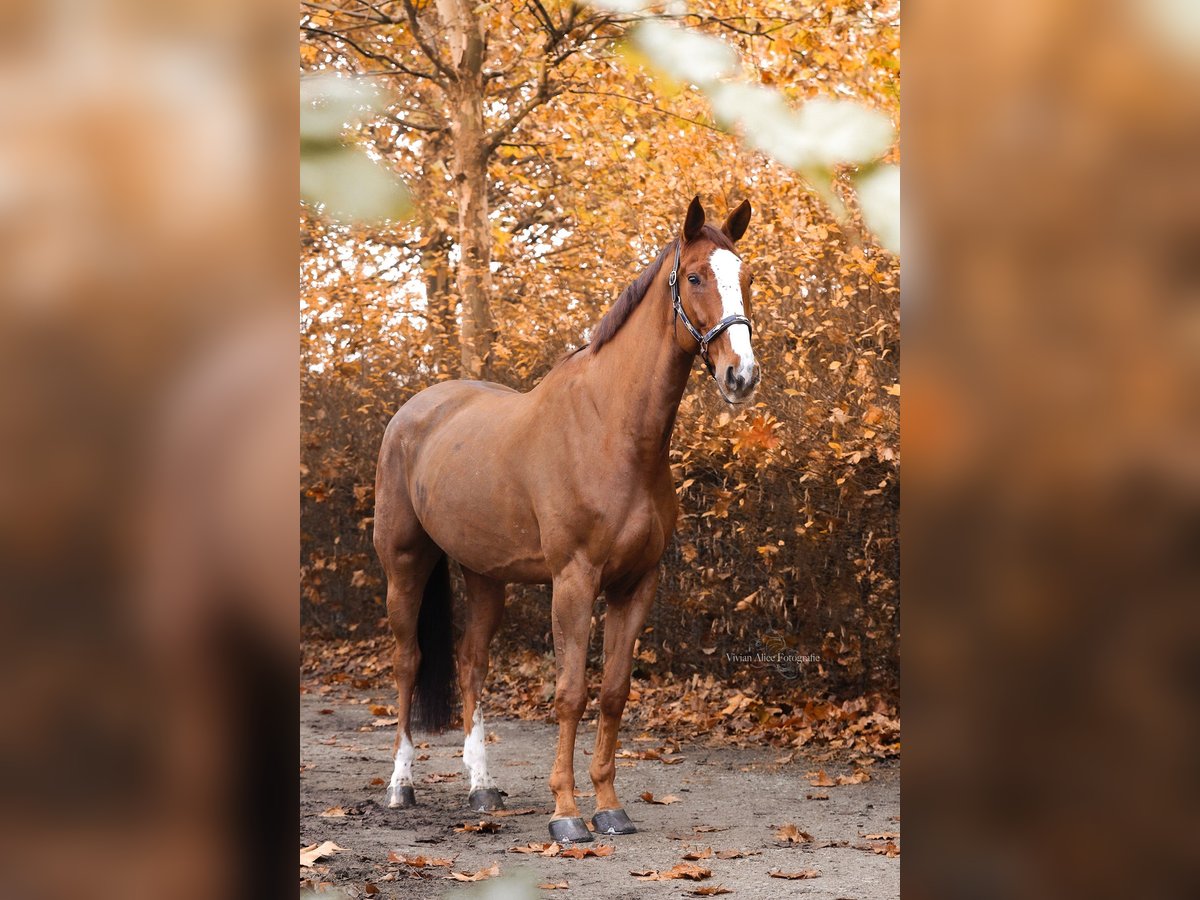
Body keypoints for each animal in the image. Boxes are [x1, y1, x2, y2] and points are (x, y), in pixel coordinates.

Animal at [372, 195, 759, 842]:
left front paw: (610, 806)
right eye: (695, 277)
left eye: (746, 278)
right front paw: (567, 814)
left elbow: (613, 692)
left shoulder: (637, 583)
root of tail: (414, 410)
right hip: (405, 565)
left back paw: (482, 788)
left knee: (471, 663)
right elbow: (571, 692)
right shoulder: (574, 580)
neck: (612, 431)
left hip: (486, 577)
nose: (742, 376)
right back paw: (401, 785)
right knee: (408, 662)